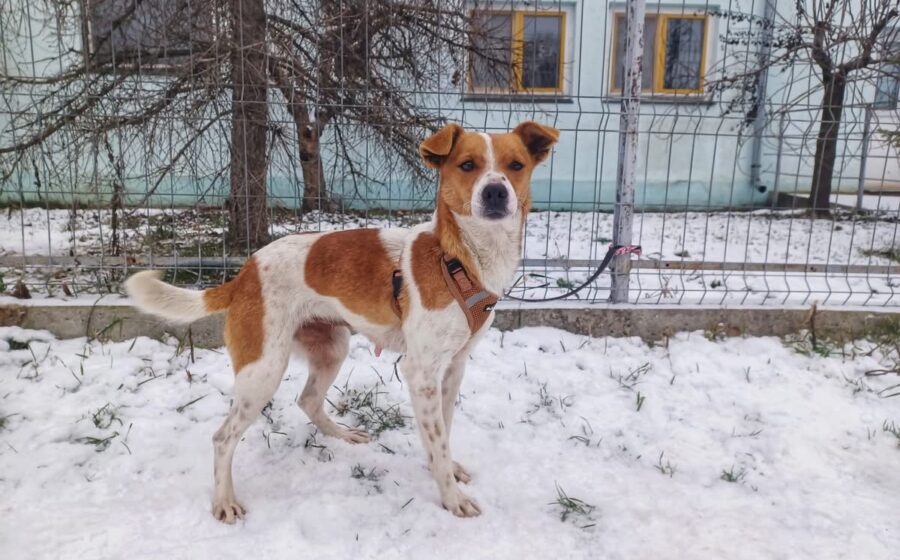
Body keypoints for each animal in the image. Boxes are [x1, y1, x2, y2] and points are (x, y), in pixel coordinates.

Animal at [125, 121, 559, 523]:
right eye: (467, 165)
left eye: (516, 166)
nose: (495, 192)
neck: (458, 257)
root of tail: (244, 273)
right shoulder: (421, 371)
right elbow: (436, 440)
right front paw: (451, 498)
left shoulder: (454, 366)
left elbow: (445, 431)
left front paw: (448, 470)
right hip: (263, 369)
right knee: (222, 437)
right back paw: (224, 501)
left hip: (331, 346)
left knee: (308, 399)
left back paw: (342, 435)